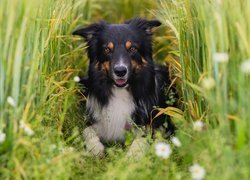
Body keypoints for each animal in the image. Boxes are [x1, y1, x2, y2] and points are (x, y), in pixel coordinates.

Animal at [73, 18, 175, 155]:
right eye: (107, 49)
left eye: (132, 48)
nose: (120, 71)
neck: (120, 91)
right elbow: (87, 130)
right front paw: (96, 148)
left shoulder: (161, 125)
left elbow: (142, 138)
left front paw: (132, 155)